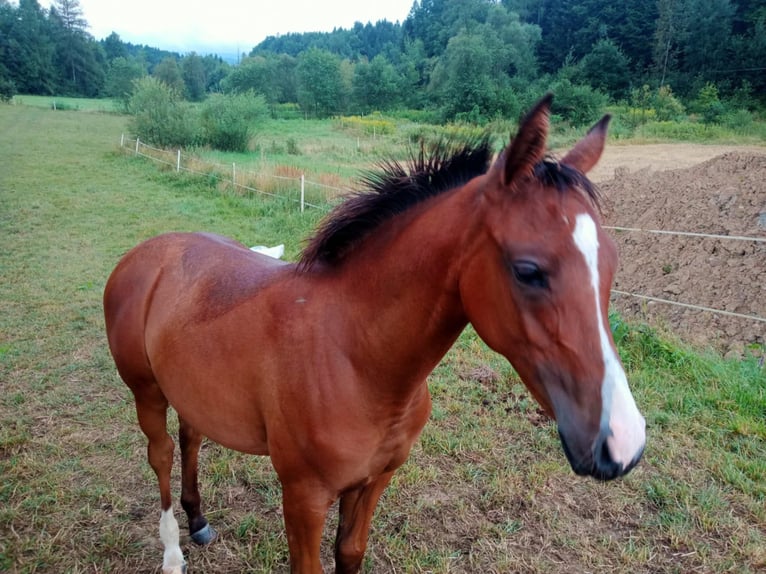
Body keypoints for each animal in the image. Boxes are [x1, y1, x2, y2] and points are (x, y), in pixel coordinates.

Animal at [103, 97, 648, 572]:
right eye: (528, 270)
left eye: (612, 263)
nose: (623, 441)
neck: (356, 357)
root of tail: (144, 254)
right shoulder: (303, 496)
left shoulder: (373, 482)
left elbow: (351, 553)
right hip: (146, 393)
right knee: (162, 456)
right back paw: (173, 553)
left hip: (190, 390)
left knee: (192, 439)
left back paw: (198, 520)